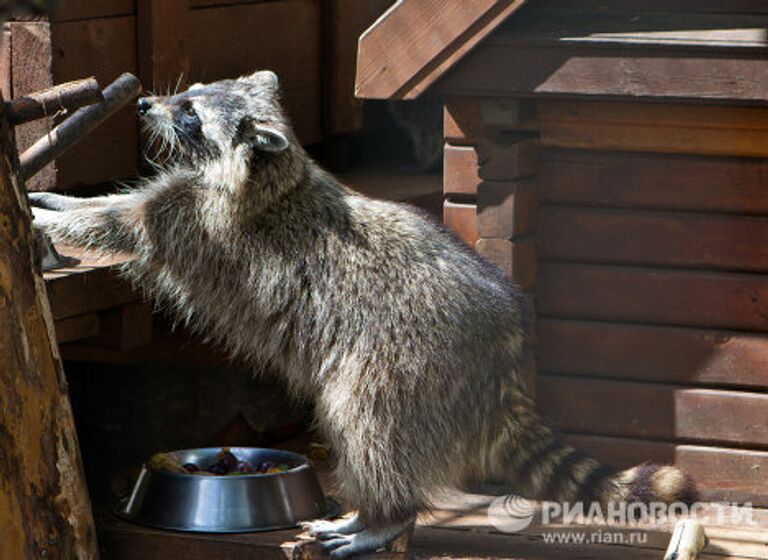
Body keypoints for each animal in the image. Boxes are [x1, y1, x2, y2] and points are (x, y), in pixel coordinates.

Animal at [31, 72, 696, 556]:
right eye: (185, 95)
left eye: (191, 113)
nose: (146, 103)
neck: (273, 173)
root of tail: (502, 357)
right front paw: (57, 197)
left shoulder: (199, 224)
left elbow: (119, 224)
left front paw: (53, 217)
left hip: (405, 362)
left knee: (365, 421)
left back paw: (386, 515)